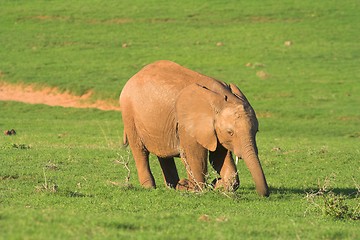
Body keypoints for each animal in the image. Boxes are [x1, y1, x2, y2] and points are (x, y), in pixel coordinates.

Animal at [119, 60, 268, 197]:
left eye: (256, 131)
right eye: (230, 132)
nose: (264, 195)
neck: (220, 99)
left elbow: (219, 157)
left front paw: (218, 185)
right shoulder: (187, 123)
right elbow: (196, 156)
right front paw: (198, 189)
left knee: (163, 154)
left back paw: (174, 186)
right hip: (129, 114)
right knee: (140, 151)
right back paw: (151, 187)